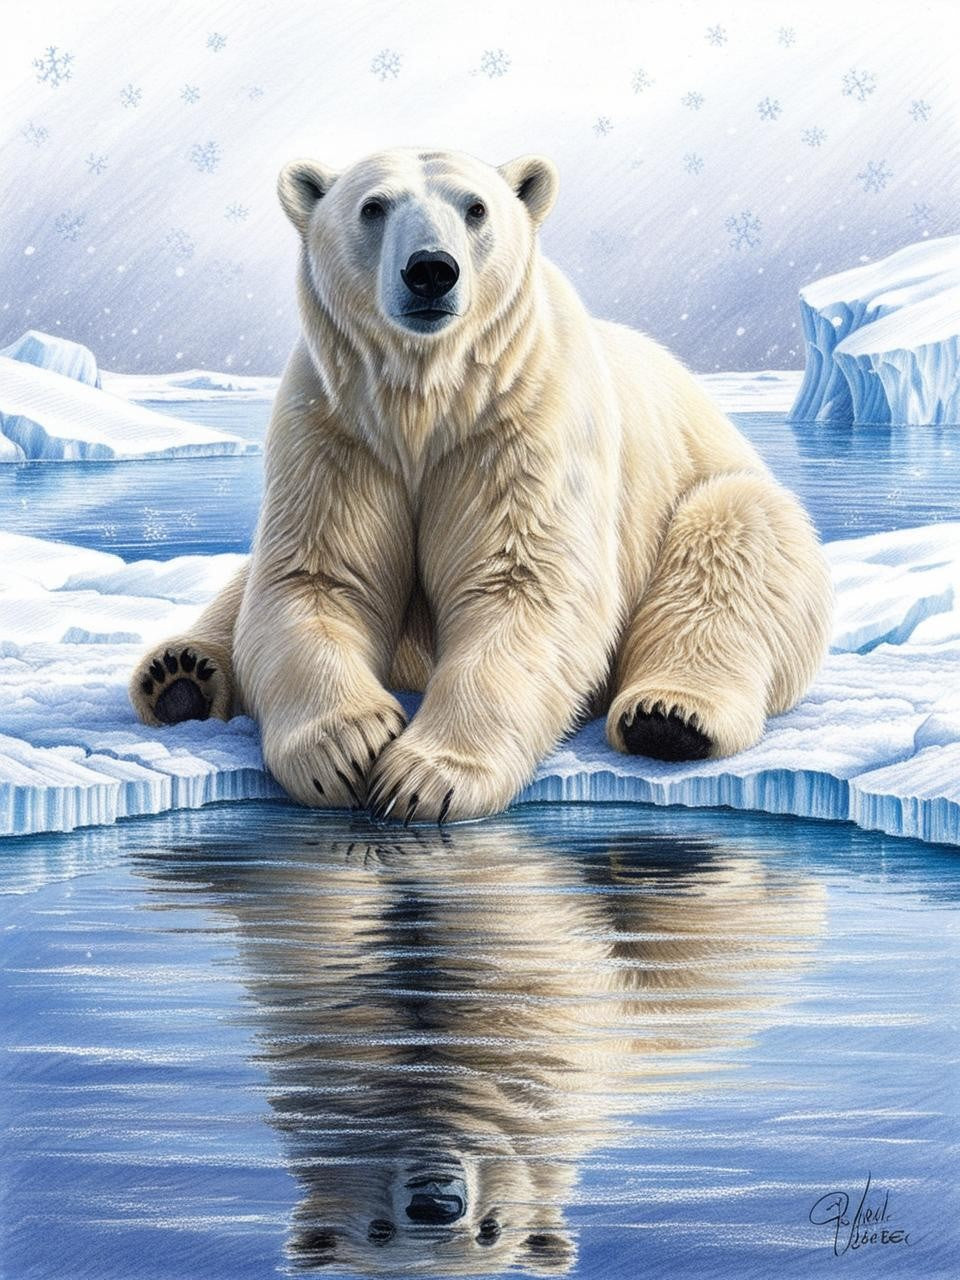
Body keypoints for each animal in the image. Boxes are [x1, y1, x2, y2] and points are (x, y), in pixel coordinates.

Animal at [129, 146, 833, 822]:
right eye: (373, 206)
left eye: (476, 207)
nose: (431, 270)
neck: (426, 400)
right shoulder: (337, 426)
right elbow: (316, 578)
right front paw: (347, 749)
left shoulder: (523, 422)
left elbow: (522, 583)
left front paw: (422, 779)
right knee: (244, 588)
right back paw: (180, 675)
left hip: (707, 491)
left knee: (729, 544)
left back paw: (669, 718)